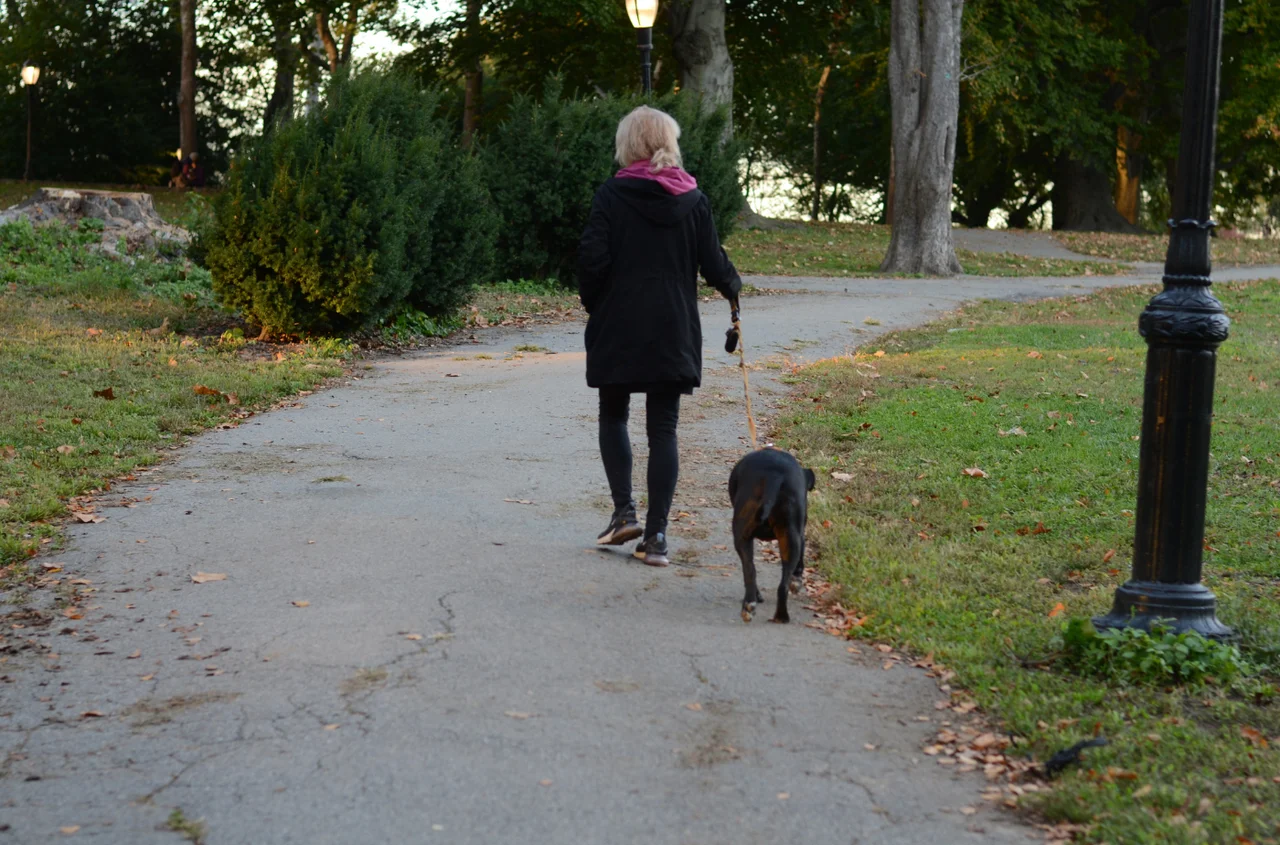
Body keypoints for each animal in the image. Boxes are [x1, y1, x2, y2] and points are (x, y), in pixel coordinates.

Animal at [727, 448, 814, 619]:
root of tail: (775, 476)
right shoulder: (800, 533)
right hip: (791, 536)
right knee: (783, 585)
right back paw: (781, 617)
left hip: (742, 537)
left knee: (749, 570)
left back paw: (750, 604)